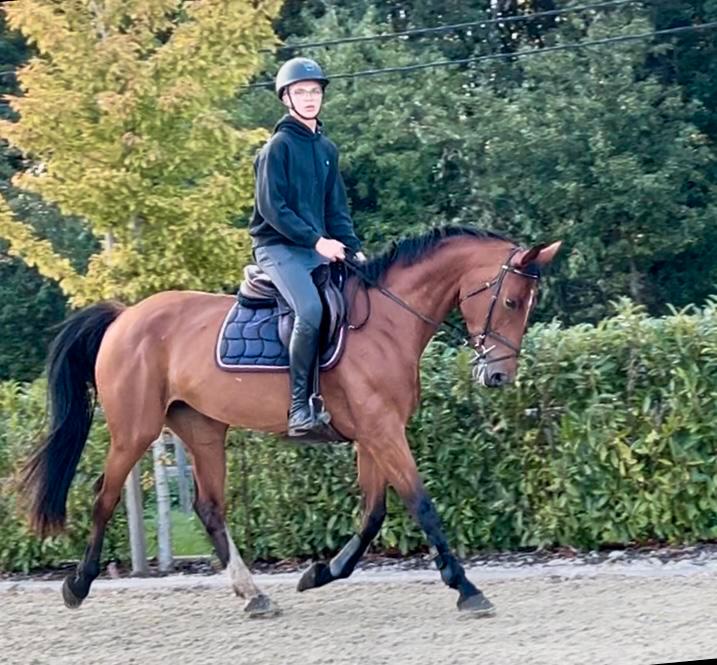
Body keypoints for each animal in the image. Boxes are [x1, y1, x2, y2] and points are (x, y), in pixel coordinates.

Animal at [20, 225, 560, 617]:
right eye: (510, 301)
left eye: (528, 306)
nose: (497, 376)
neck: (390, 322)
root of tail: (125, 315)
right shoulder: (382, 432)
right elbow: (421, 505)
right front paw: (466, 588)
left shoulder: (374, 435)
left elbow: (373, 514)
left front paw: (321, 572)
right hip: (135, 430)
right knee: (104, 496)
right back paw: (77, 584)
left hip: (202, 429)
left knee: (209, 508)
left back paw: (254, 595)